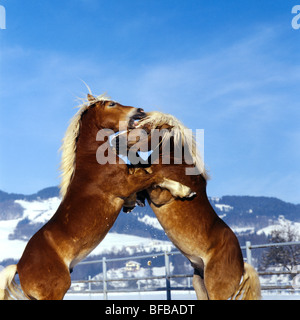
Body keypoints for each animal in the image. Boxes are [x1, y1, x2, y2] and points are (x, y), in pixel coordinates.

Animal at [0, 94, 192, 298]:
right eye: (111, 104)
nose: (140, 110)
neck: (94, 160)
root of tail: (19, 267)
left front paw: (133, 203)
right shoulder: (126, 184)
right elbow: (155, 176)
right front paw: (185, 190)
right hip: (57, 290)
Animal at [125, 112, 262, 300]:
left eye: (146, 127)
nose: (120, 139)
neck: (174, 160)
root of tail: (242, 266)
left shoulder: (160, 196)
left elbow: (146, 176)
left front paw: (186, 192)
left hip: (215, 290)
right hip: (199, 283)